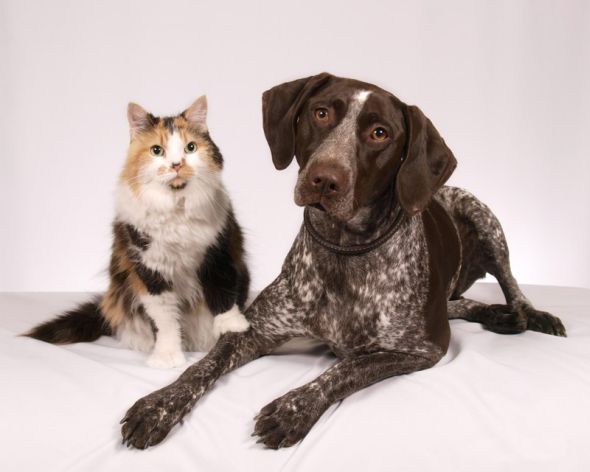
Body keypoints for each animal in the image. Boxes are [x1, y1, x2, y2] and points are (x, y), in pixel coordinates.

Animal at [25, 96, 251, 368]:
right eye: (157, 151)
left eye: (190, 148)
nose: (176, 164)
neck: (176, 209)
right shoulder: (149, 268)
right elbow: (165, 320)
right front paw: (167, 357)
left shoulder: (217, 251)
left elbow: (223, 292)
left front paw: (232, 327)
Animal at [118, 73, 568, 450]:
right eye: (321, 113)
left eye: (379, 133)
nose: (325, 179)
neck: (342, 250)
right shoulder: (256, 330)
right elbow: (203, 366)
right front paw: (158, 405)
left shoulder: (422, 348)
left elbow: (344, 370)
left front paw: (291, 409)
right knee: (462, 303)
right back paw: (497, 315)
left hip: (483, 217)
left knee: (510, 285)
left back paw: (527, 314)